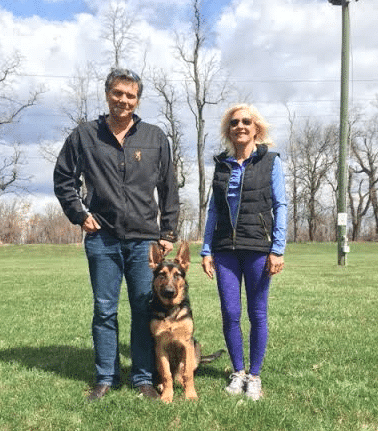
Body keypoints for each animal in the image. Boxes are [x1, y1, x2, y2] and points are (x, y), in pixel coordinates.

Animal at [148, 243, 224, 404]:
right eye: (162, 274)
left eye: (177, 275)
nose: (169, 292)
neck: (170, 311)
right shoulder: (160, 346)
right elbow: (166, 375)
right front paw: (167, 395)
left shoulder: (187, 344)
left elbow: (188, 374)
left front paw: (190, 394)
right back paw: (161, 385)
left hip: (195, 347)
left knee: (182, 373)